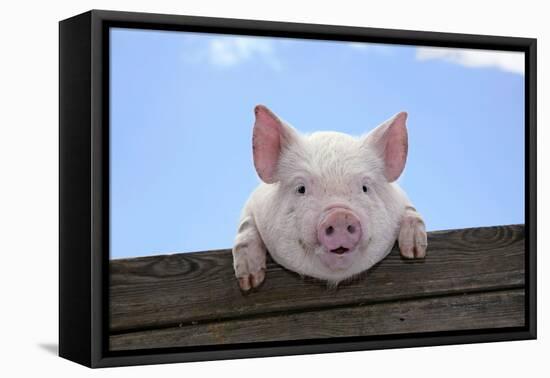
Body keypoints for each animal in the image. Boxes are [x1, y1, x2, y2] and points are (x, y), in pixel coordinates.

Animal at [235, 105, 430, 290]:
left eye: (365, 188)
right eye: (301, 189)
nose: (340, 216)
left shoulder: (402, 198)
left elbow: (411, 211)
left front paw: (414, 252)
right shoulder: (253, 203)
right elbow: (245, 226)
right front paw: (250, 282)